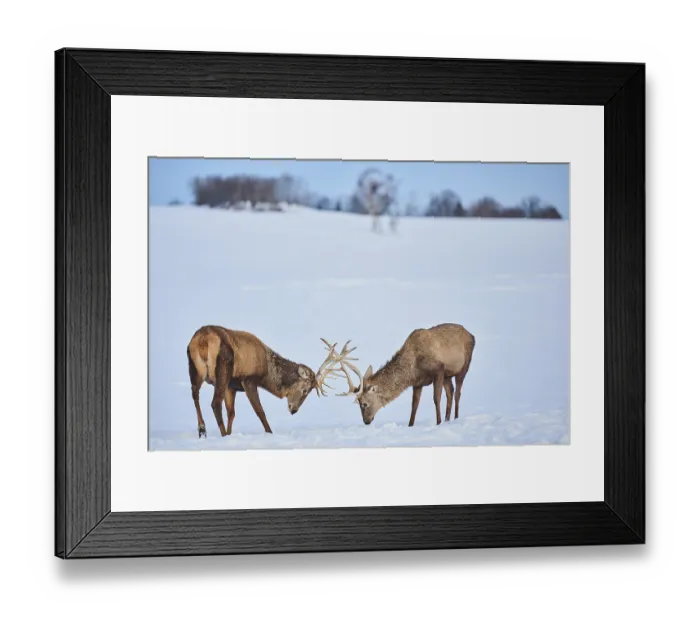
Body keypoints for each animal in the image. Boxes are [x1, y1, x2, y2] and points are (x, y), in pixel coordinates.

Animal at [186, 326, 341, 438]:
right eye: (305, 390)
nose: (294, 410)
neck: (267, 373)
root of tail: (203, 340)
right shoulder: (248, 380)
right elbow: (260, 411)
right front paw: (269, 432)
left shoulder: (232, 386)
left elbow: (231, 412)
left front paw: (230, 434)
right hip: (223, 368)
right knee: (215, 403)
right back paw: (221, 434)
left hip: (195, 369)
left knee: (195, 394)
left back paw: (202, 429)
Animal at [331, 323, 476, 427]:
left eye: (364, 404)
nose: (366, 421)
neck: (412, 368)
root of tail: (472, 335)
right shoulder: (418, 382)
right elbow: (414, 404)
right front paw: (410, 425)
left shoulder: (439, 369)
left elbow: (436, 398)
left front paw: (438, 423)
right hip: (448, 375)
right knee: (450, 391)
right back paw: (448, 420)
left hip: (464, 365)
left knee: (457, 393)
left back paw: (455, 418)